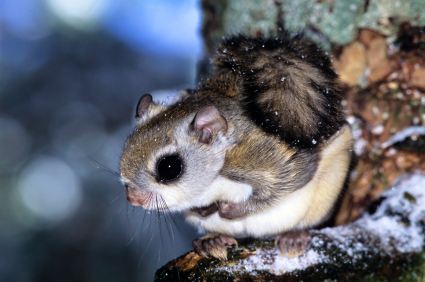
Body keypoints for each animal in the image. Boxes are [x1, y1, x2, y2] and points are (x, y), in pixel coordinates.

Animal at [118, 34, 352, 262]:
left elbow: (288, 182)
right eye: (125, 150)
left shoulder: (268, 157)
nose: (133, 199)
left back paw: (294, 236)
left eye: (169, 167)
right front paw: (206, 210)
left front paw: (230, 208)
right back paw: (212, 240)